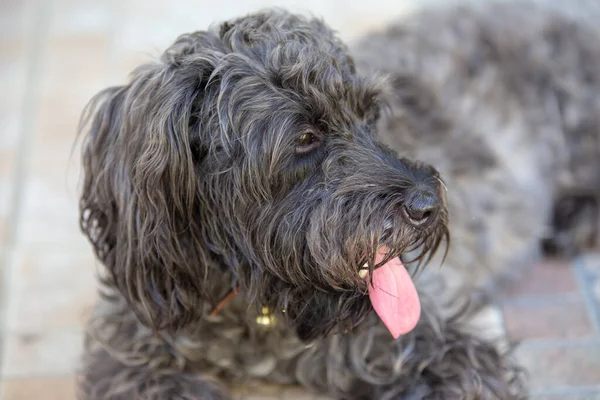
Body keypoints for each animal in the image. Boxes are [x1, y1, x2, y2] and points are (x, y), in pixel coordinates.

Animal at [77, 1, 600, 398]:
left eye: (369, 116)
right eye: (306, 138)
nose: (428, 205)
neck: (261, 312)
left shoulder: (441, 349)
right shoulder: (129, 349)